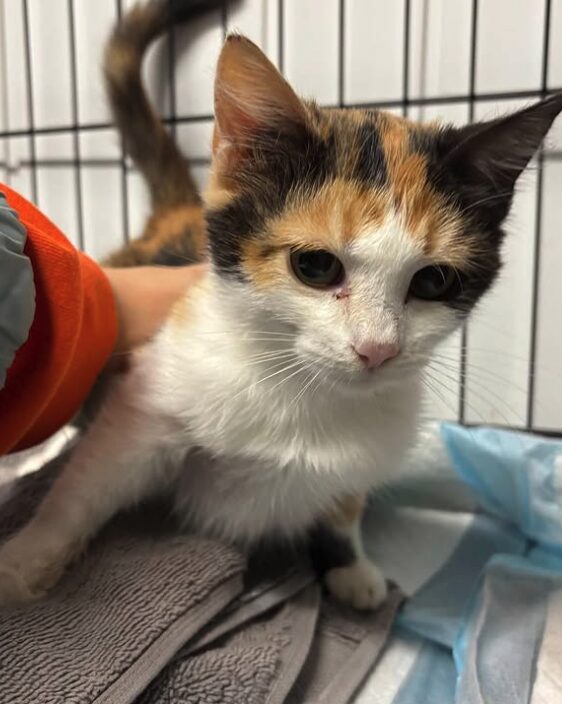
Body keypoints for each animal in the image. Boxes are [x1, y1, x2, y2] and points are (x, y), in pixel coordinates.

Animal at [1, 0, 560, 612]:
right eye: (315, 267)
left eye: (434, 281)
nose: (377, 349)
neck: (301, 390)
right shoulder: (149, 400)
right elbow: (90, 483)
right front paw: (27, 558)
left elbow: (343, 507)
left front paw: (349, 565)